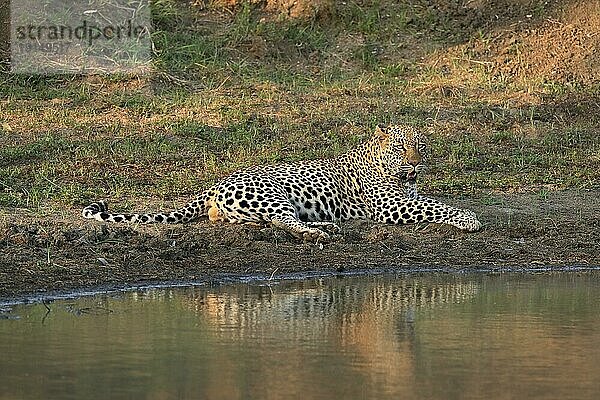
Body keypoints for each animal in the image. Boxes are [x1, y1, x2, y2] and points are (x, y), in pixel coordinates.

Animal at [82, 123, 482, 239]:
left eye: (421, 147)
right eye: (401, 148)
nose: (415, 165)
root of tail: (215, 183)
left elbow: (432, 201)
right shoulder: (391, 206)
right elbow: (437, 205)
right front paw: (471, 219)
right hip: (271, 194)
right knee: (284, 221)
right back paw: (323, 232)